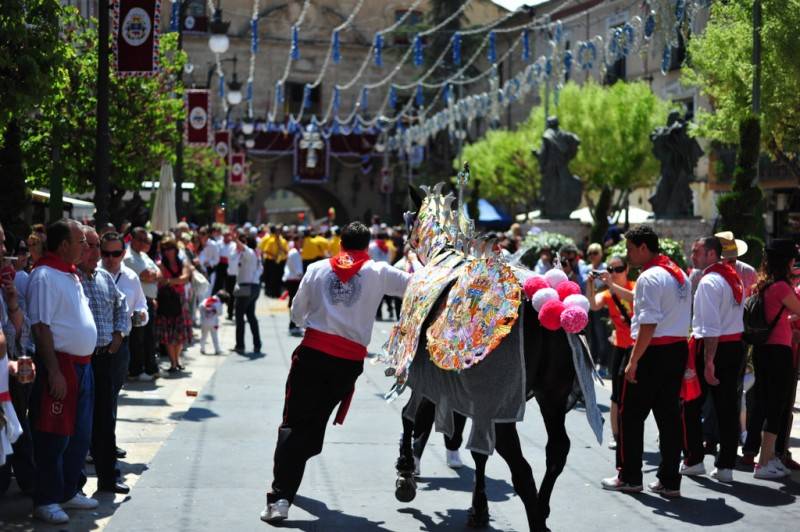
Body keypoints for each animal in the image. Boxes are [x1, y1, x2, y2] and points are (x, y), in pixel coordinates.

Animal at [382, 176, 600, 532]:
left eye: (407, 222)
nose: (404, 253)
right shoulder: (473, 397)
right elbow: (477, 451)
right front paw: (478, 509)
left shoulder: (424, 374)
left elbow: (412, 416)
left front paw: (405, 473)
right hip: (552, 394)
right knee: (557, 450)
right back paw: (542, 508)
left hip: (506, 399)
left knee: (520, 465)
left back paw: (537, 519)